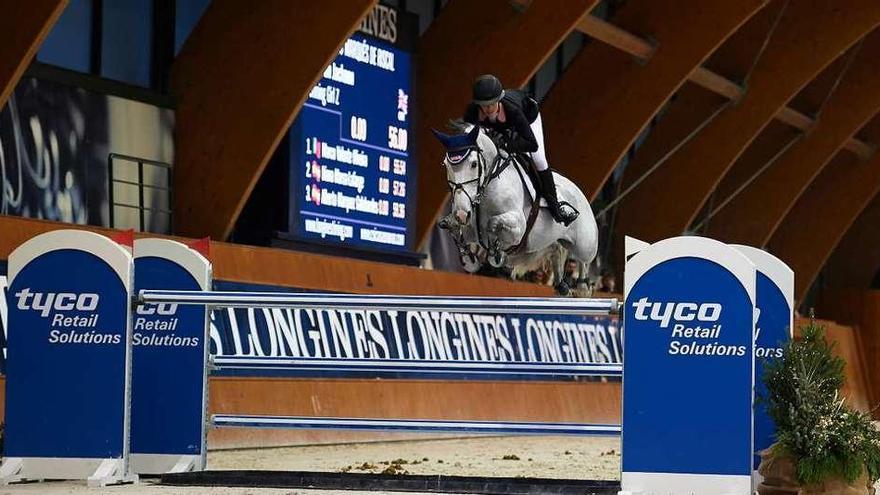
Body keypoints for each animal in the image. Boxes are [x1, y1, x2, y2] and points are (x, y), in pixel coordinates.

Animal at [432, 124, 600, 294]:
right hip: (544, 242)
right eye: (446, 165)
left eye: (473, 164)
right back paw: (562, 286)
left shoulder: (519, 226)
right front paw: (469, 260)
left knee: (584, 260)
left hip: (584, 245)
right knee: (555, 249)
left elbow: (493, 223)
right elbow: (452, 229)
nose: (461, 214)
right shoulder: (471, 229)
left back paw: (583, 288)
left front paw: (496, 253)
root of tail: (580, 192)